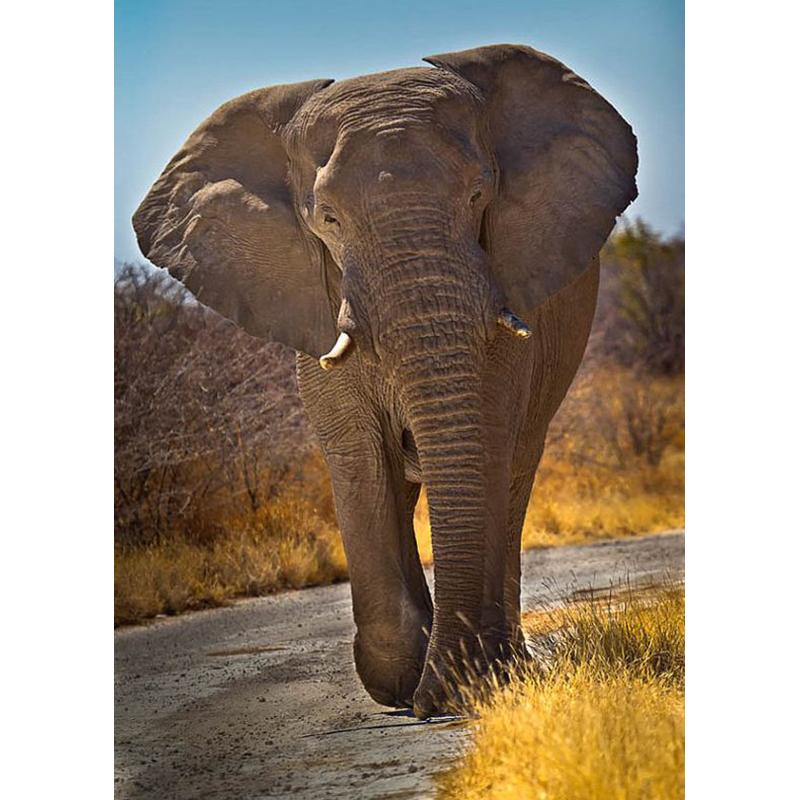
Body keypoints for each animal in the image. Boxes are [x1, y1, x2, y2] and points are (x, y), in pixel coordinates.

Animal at [133, 43, 638, 719]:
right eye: (328, 219)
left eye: (480, 195)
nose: (437, 701)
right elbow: (361, 457)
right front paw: (400, 681)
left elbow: (487, 442)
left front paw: (466, 681)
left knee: (516, 468)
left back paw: (503, 663)